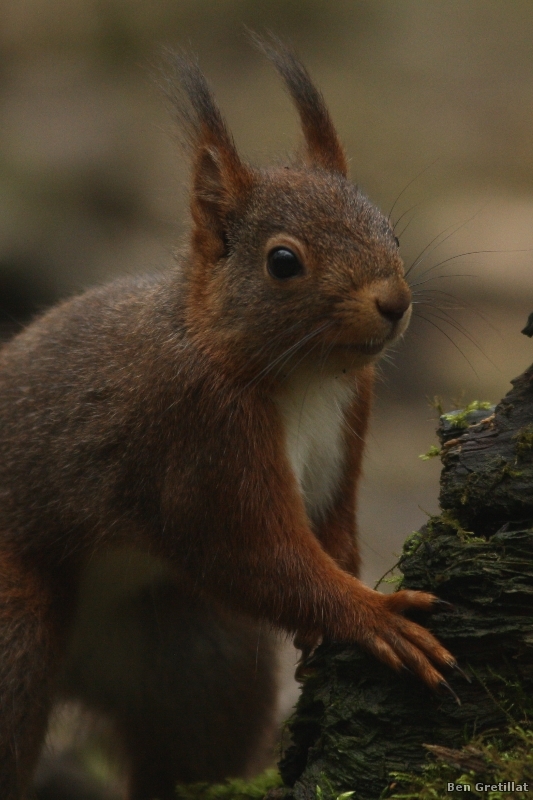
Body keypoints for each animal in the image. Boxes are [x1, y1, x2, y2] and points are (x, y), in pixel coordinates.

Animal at [0, 36, 456, 800]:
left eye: (387, 227)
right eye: (283, 261)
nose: (393, 302)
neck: (298, 378)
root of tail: (76, 667)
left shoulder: (347, 423)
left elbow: (332, 529)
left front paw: (341, 601)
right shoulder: (195, 437)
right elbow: (250, 554)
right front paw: (369, 614)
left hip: (196, 657)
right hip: (18, 626)